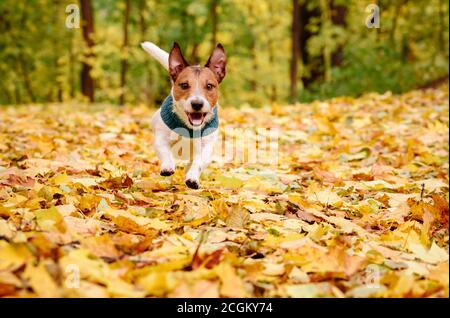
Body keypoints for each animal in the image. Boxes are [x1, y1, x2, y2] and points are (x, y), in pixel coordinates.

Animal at [141, 40, 227, 188]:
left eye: (209, 86)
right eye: (184, 85)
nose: (197, 104)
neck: (188, 126)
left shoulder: (206, 146)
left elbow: (199, 162)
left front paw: (193, 178)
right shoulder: (161, 137)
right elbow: (165, 152)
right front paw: (167, 166)